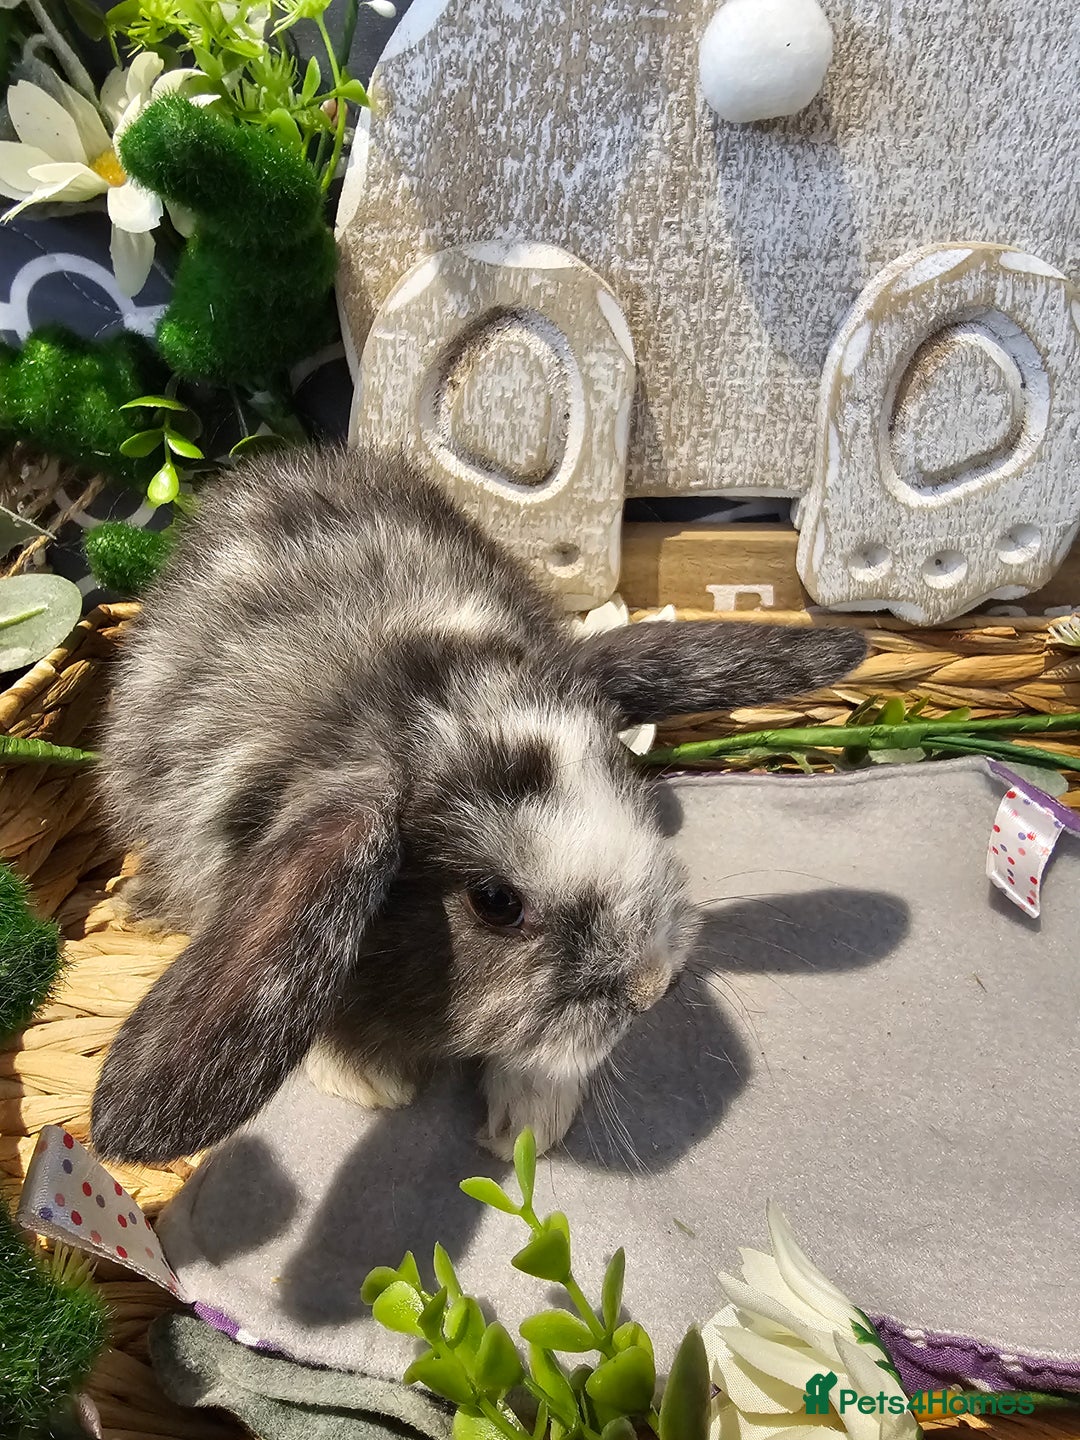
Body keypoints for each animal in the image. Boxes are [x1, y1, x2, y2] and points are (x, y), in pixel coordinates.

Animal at [90, 444, 866, 1165]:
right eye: (494, 902)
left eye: (628, 784)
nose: (651, 986)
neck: (394, 691)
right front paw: (367, 1079)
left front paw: (527, 1121)